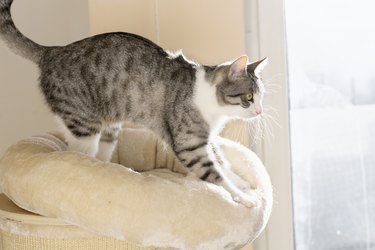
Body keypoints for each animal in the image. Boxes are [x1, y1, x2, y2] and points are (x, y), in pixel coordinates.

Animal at [1, 0, 268, 207]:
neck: (210, 105)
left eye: (261, 96)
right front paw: (244, 198)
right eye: (249, 98)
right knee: (77, 154)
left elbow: (223, 162)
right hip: (84, 127)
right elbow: (216, 173)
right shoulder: (189, 145)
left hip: (109, 129)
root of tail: (51, 52)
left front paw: (243, 183)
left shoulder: (207, 139)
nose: (260, 111)